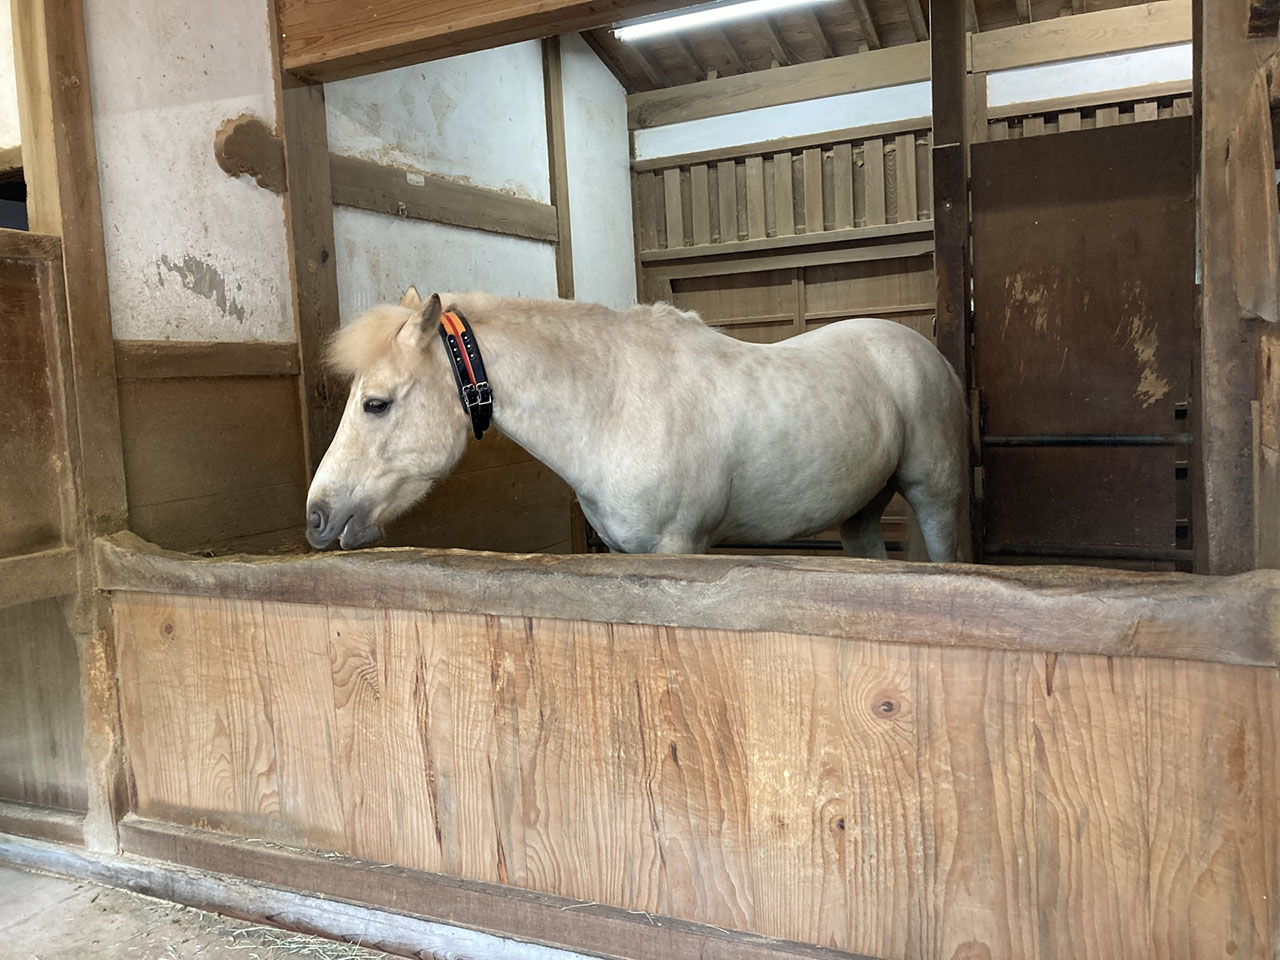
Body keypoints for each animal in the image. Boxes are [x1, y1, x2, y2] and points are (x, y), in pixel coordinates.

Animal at [305, 287, 970, 559]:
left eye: (376, 404)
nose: (316, 515)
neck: (616, 405)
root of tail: (927, 352)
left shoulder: (678, 549)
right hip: (860, 513)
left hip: (935, 498)